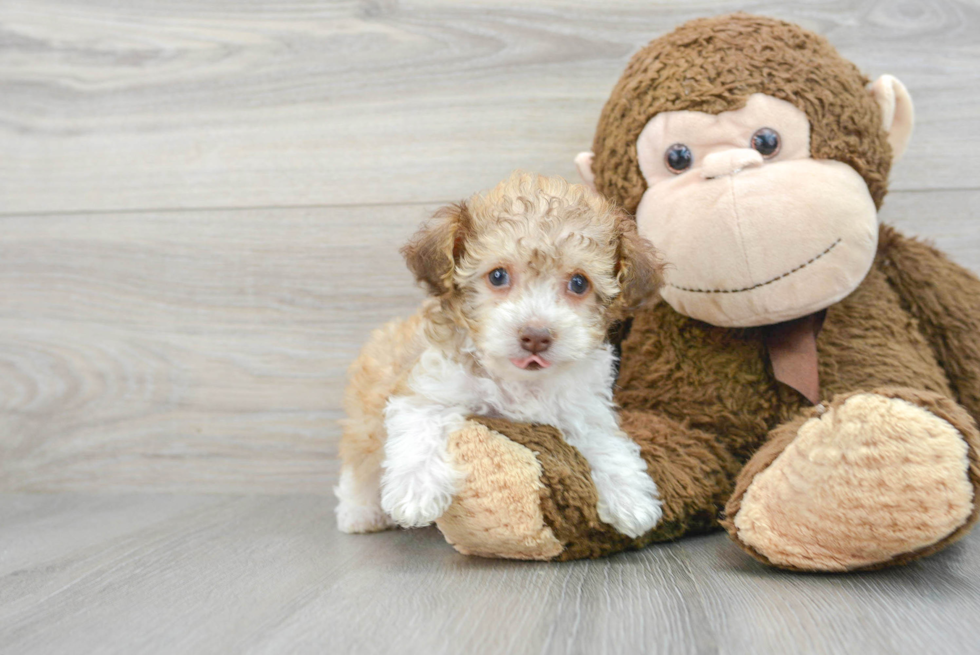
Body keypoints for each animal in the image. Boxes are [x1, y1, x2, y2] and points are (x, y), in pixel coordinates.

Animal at [336, 170, 668, 540]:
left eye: (579, 283)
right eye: (498, 276)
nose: (536, 336)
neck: (519, 381)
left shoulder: (581, 407)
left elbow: (605, 442)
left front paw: (630, 497)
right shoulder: (430, 385)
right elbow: (419, 428)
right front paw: (416, 492)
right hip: (366, 413)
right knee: (359, 463)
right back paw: (359, 512)